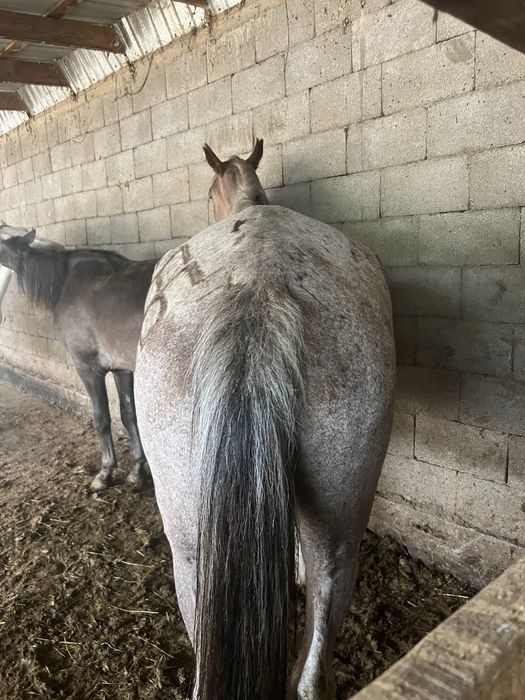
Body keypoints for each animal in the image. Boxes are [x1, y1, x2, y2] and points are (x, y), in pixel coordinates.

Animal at [0, 226, 156, 492]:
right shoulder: (121, 369)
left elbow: (101, 418)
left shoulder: (88, 369)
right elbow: (129, 416)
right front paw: (136, 473)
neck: (65, 283)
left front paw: (104, 473)